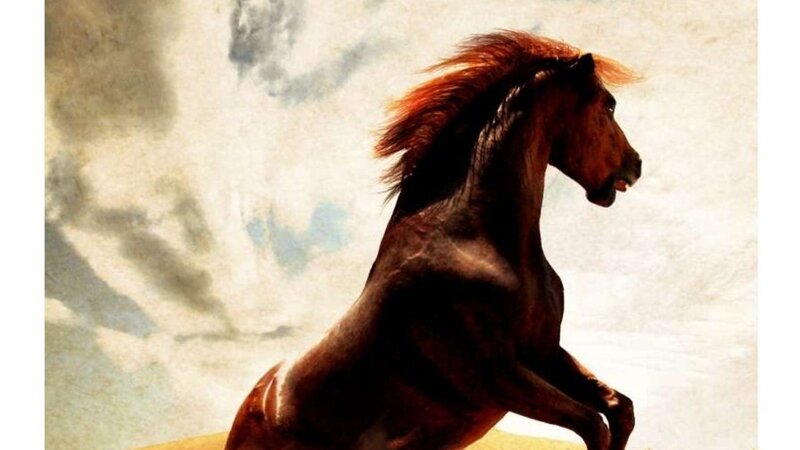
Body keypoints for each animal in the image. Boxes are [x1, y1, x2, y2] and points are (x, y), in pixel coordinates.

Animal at [226, 30, 643, 450]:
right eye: (608, 105)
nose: (636, 163)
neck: (474, 243)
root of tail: (255, 402)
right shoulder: (497, 376)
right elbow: (593, 423)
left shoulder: (545, 353)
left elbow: (619, 407)